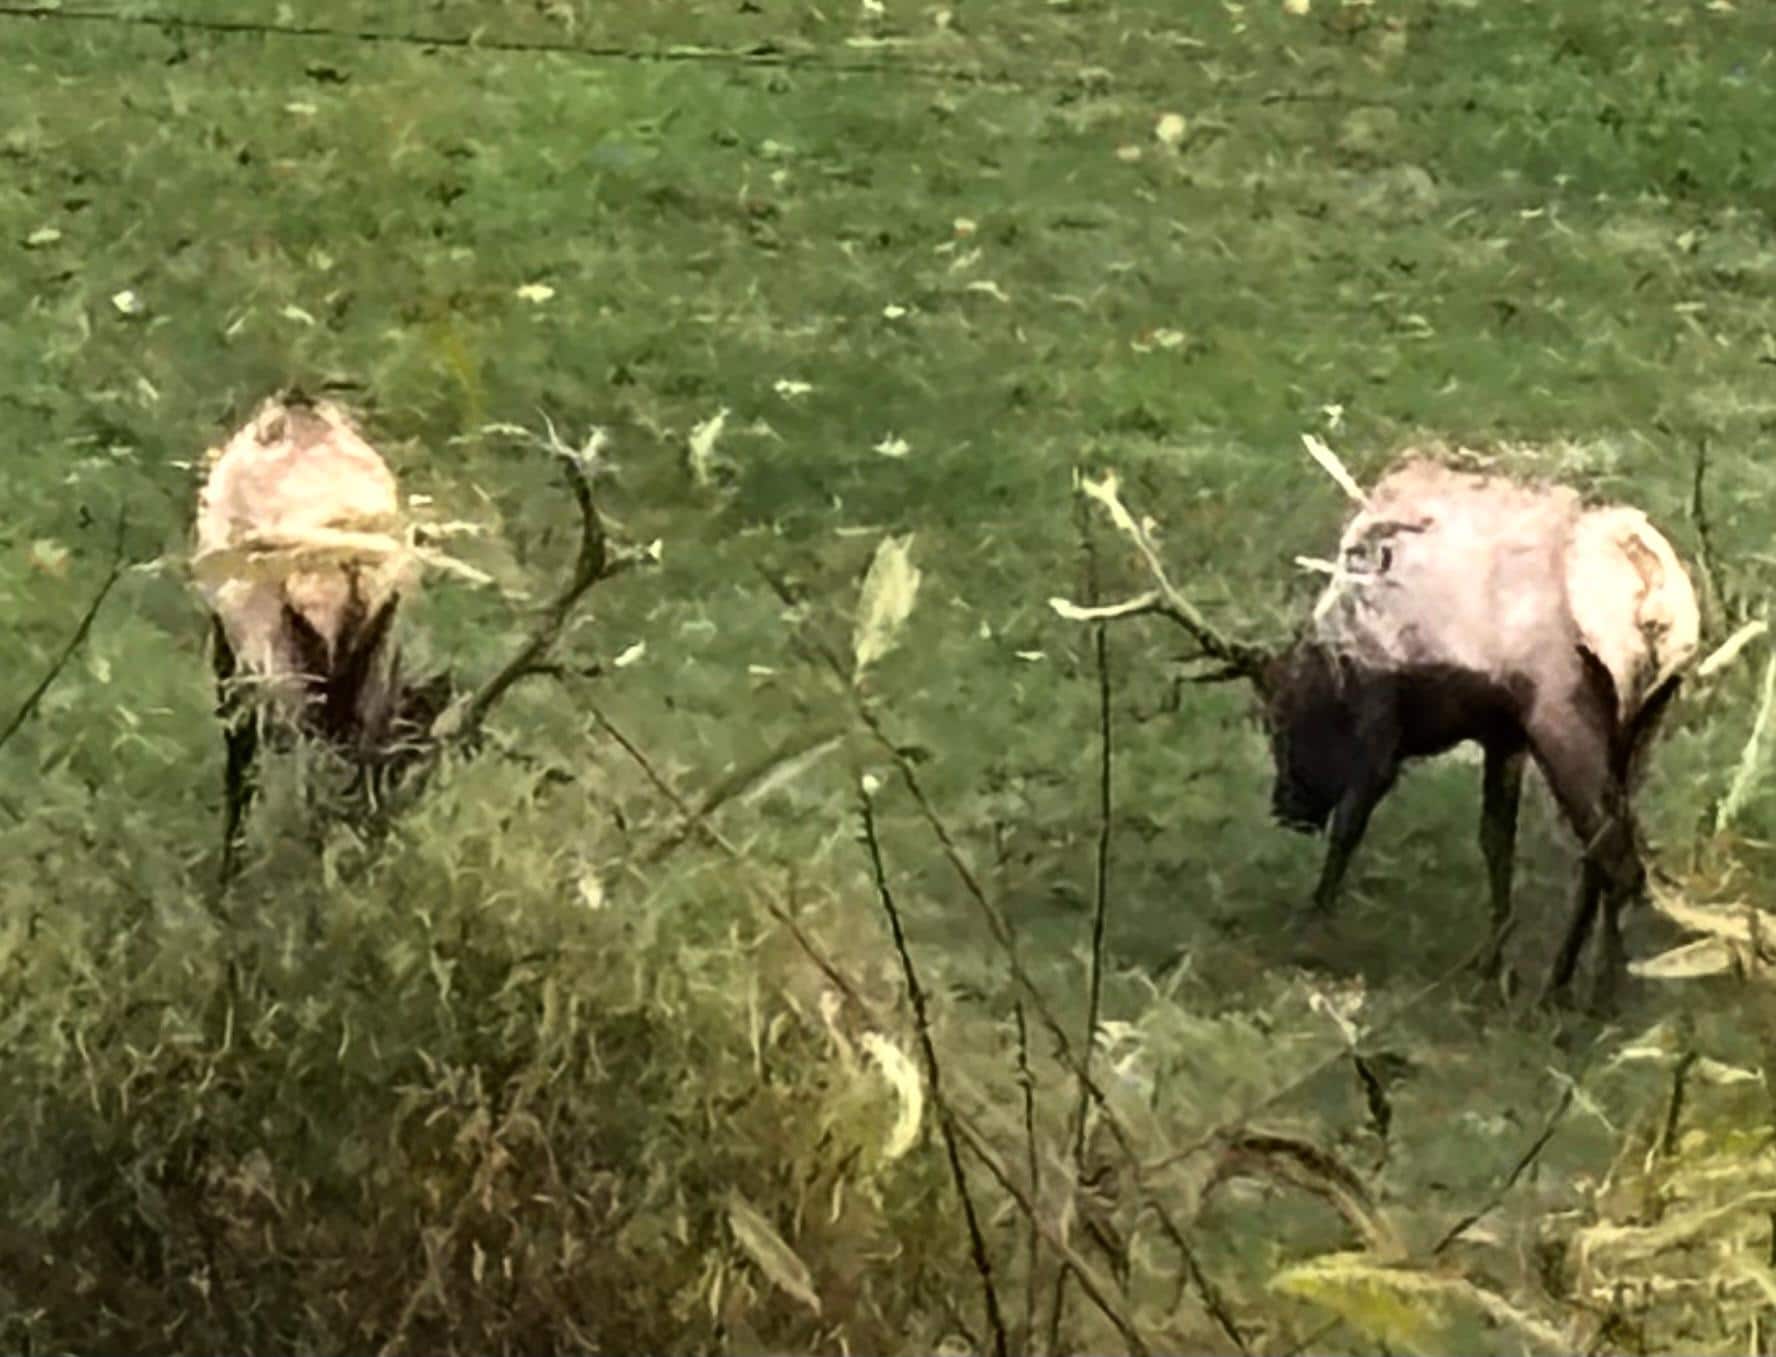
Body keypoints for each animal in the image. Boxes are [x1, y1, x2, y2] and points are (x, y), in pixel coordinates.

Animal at [1055, 447, 1701, 1009]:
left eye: (1279, 719)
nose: (1287, 807)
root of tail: (1659, 606)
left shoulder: (1383, 714)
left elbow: (1352, 822)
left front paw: (1311, 924)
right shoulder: (1501, 734)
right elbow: (1496, 841)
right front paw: (1492, 967)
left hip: (1566, 716)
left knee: (1618, 859)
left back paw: (1596, 998)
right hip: (1642, 725)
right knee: (1609, 854)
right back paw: (1566, 983)